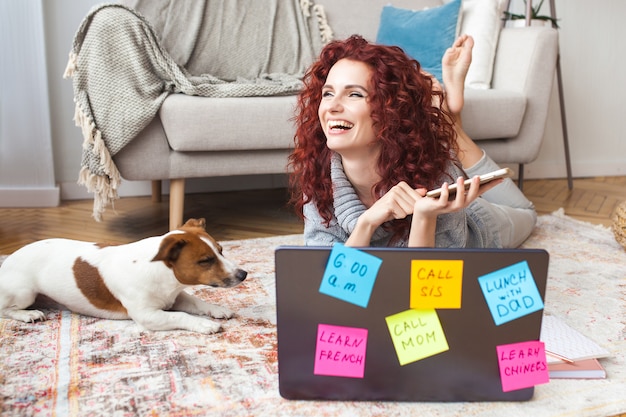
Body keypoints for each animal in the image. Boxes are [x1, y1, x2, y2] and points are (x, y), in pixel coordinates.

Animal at [0, 218, 249, 332]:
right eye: (205, 261)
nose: (243, 274)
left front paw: (217, 310)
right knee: (6, 310)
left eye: (221, 250)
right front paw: (204, 324)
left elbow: (197, 302)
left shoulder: (176, 297)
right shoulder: (148, 315)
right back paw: (28, 315)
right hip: (24, 293)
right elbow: (180, 316)